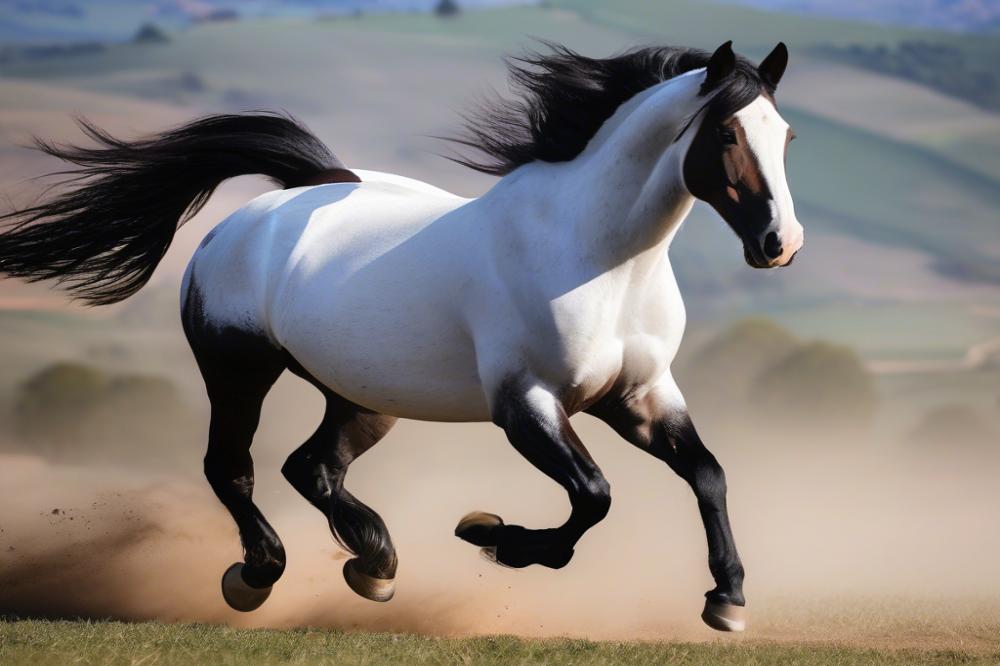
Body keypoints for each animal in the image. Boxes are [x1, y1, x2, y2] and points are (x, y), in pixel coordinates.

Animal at [0, 40, 802, 632]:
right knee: (232, 468)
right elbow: (595, 495)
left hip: (361, 396)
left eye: (787, 135)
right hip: (238, 370)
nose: (780, 243)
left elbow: (707, 474)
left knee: (312, 468)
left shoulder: (640, 396)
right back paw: (258, 575)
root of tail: (272, 207)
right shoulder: (526, 403)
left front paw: (727, 601)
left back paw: (374, 565)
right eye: (726, 132)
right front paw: (490, 536)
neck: (595, 256)